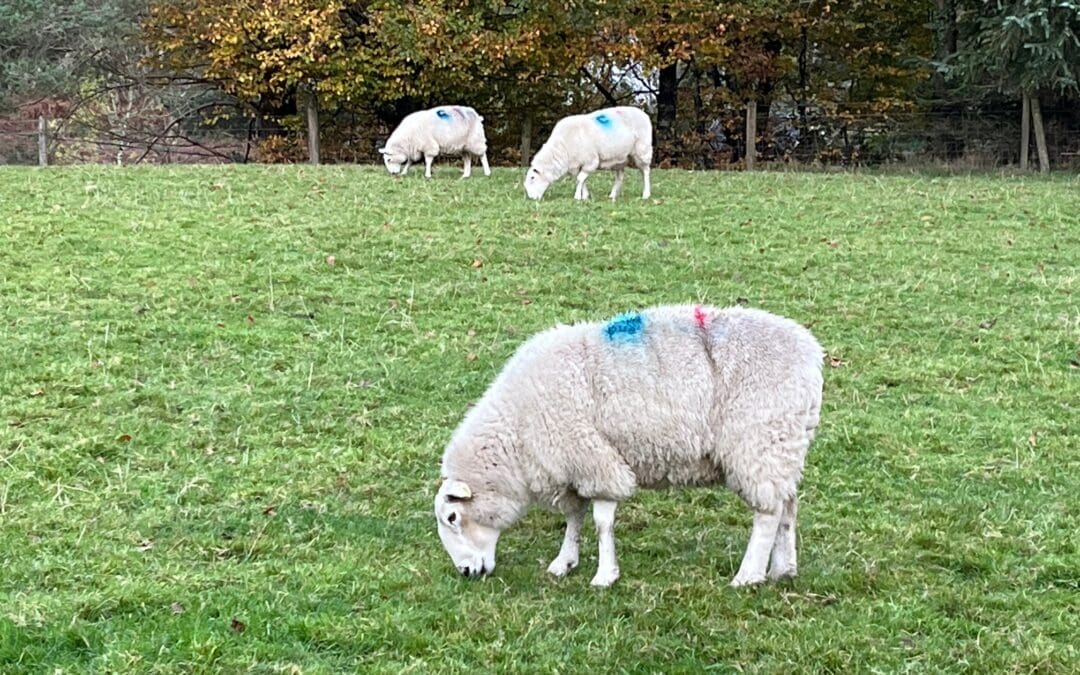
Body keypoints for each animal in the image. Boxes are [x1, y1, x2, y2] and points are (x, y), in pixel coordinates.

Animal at [434, 304, 824, 588]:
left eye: (452, 517)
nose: (465, 572)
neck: (515, 432)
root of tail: (812, 355)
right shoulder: (572, 467)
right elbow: (574, 518)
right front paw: (564, 562)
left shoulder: (596, 460)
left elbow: (601, 522)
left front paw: (604, 576)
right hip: (785, 444)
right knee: (787, 506)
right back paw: (783, 569)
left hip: (759, 442)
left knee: (768, 514)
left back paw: (748, 575)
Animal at [524, 106, 653, 201]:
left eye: (532, 178)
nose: (531, 198)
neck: (562, 148)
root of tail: (644, 114)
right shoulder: (576, 165)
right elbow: (581, 180)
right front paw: (585, 196)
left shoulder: (591, 161)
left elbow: (580, 179)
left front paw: (577, 197)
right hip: (620, 157)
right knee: (620, 176)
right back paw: (612, 195)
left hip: (642, 150)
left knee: (645, 172)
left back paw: (646, 194)